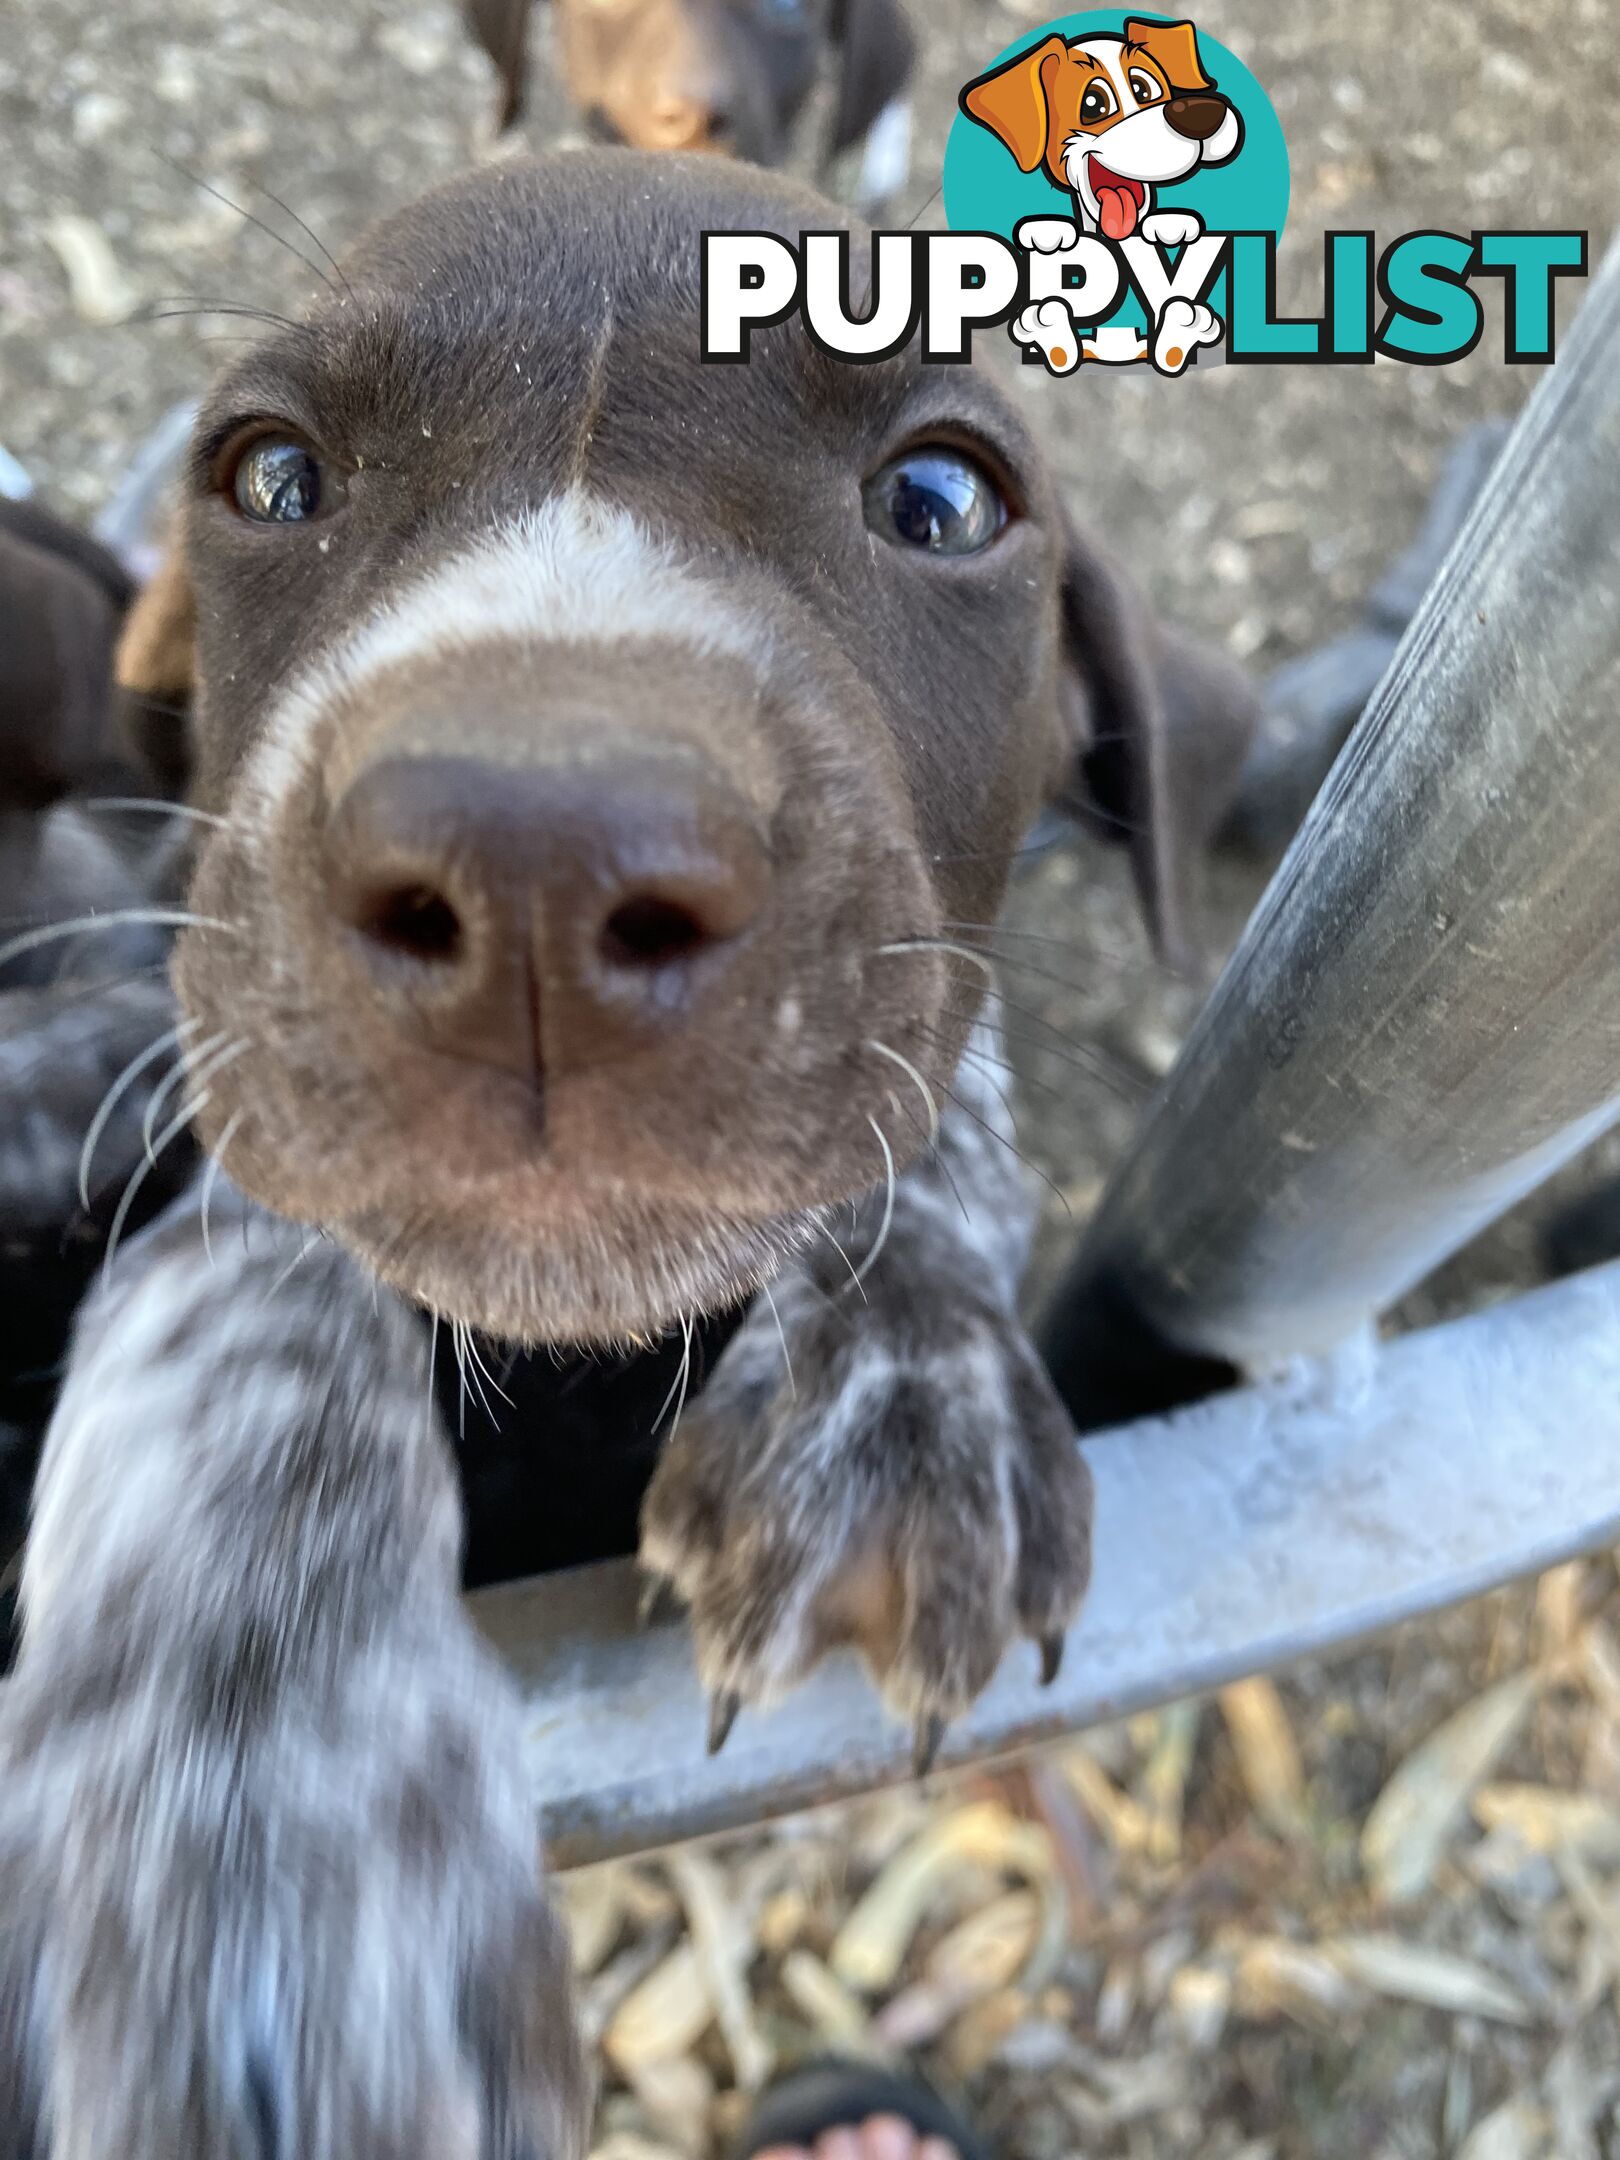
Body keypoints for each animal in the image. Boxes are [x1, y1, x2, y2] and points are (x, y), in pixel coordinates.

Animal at [0, 156, 1252, 2160]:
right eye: (272, 478)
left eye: (942, 497)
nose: (533, 867)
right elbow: (258, 1300)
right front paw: (259, 1798)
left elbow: (934, 1096)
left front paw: (904, 1373)